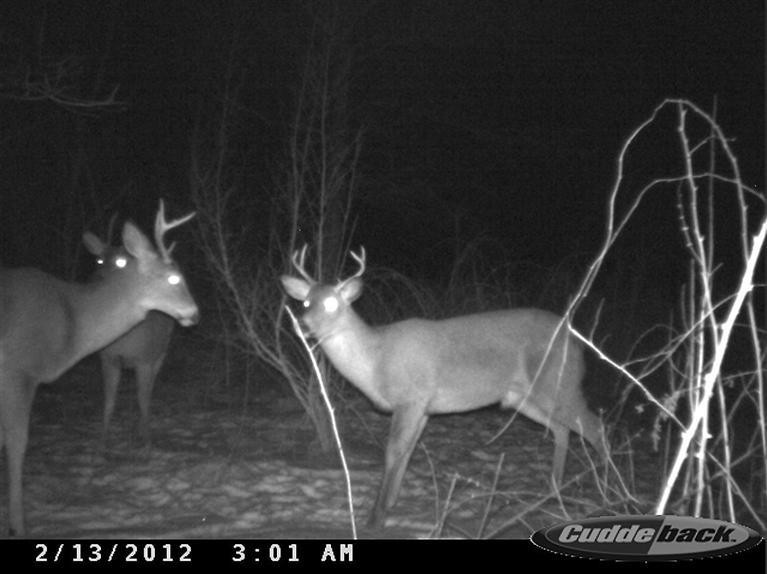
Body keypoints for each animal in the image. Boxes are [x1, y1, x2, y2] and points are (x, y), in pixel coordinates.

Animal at [85, 215, 176, 448]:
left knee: (149, 390)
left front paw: (147, 441)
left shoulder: (145, 358)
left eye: (121, 262)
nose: (97, 278)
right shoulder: (108, 357)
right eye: (98, 260)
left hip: (161, 351)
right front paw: (102, 442)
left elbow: (143, 398)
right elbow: (109, 400)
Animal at [281, 246, 605, 528]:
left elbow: (393, 451)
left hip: (560, 383)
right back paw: (552, 492)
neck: (376, 359)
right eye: (305, 302)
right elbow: (408, 451)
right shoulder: (424, 408)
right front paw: (391, 504)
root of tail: (578, 343)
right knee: (562, 430)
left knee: (595, 426)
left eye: (332, 303)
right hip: (523, 397)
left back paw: (605, 491)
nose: (302, 325)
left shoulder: (411, 398)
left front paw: (375, 518)